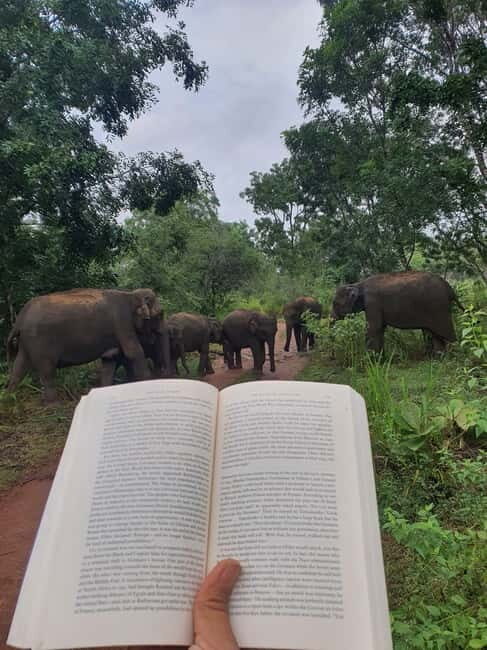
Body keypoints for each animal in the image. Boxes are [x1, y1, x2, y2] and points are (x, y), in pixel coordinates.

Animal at [7, 288, 162, 401]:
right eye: (160, 315)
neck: (130, 294)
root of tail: (20, 319)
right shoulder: (122, 322)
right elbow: (133, 352)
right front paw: (149, 383)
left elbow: (110, 359)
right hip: (40, 341)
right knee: (47, 371)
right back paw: (53, 404)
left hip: (26, 342)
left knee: (19, 367)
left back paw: (10, 397)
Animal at [330, 271, 464, 354]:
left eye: (335, 304)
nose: (332, 356)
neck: (358, 284)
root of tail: (449, 287)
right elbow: (380, 329)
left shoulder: (373, 303)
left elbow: (373, 329)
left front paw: (372, 363)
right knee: (433, 333)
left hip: (438, 307)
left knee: (445, 333)